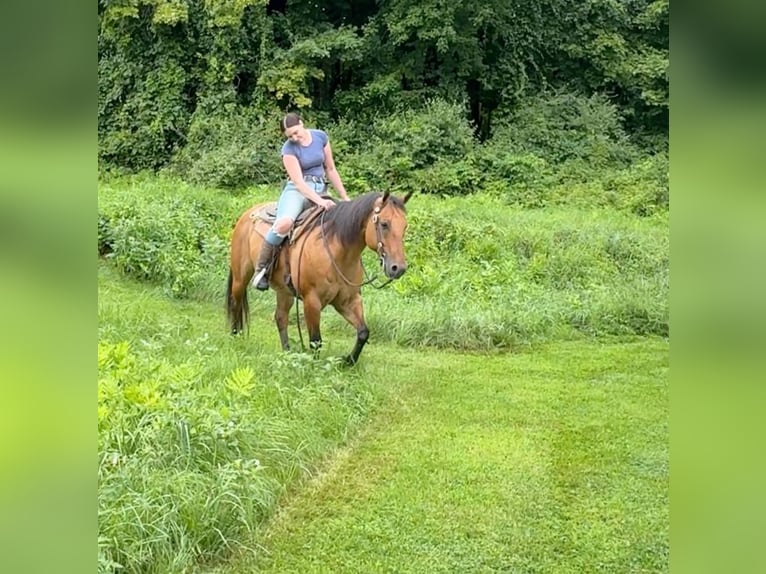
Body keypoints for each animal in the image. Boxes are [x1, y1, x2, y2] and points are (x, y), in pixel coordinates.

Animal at [224, 191, 412, 366]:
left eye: (404, 227)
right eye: (384, 224)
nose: (398, 268)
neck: (336, 252)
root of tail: (247, 214)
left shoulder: (348, 301)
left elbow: (363, 332)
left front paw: (348, 361)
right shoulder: (311, 301)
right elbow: (316, 340)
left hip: (284, 291)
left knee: (280, 317)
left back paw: (287, 353)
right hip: (241, 278)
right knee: (235, 304)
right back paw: (235, 338)